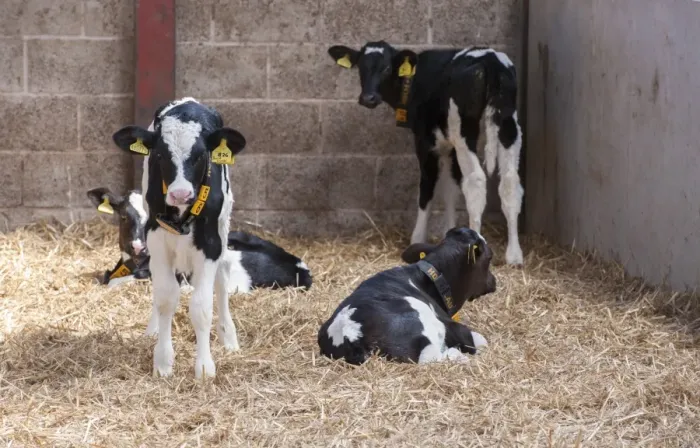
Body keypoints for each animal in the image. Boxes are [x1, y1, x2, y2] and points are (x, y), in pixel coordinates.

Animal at [318, 227, 495, 365]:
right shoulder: (454, 327)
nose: (494, 281)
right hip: (428, 330)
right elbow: (480, 340)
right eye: (489, 257)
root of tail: (349, 332)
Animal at [328, 41, 525, 266]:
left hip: (464, 129)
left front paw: (417, 238)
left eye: (387, 68)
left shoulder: (425, 142)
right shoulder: (449, 145)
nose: (368, 98)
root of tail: (489, 59)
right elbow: (451, 188)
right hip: (508, 124)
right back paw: (514, 255)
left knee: (476, 180)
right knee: (510, 182)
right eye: (361, 66)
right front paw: (450, 231)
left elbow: (427, 189)